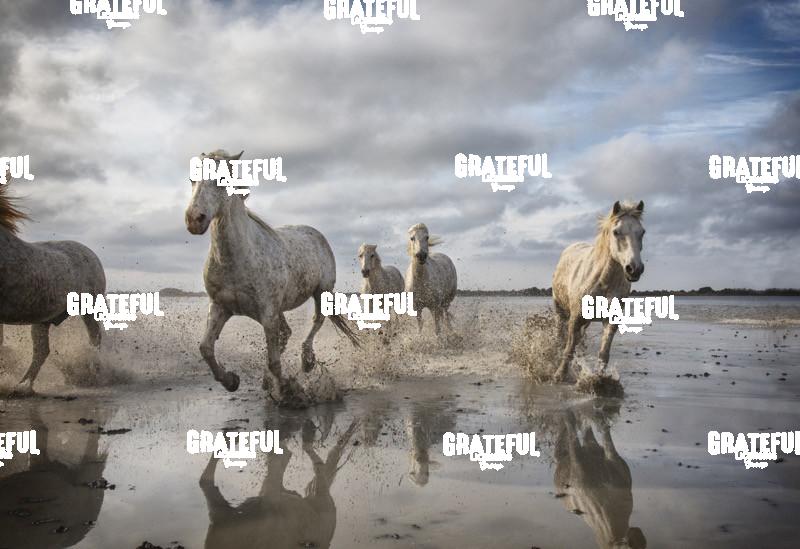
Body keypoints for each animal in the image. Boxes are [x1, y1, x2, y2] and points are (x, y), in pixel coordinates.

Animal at [0, 174, 105, 395]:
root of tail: (91, 253)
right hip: (42, 319)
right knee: (42, 351)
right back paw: (23, 385)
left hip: (89, 310)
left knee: (95, 339)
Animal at [184, 150, 359, 402]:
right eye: (192, 179)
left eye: (221, 179)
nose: (194, 219)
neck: (237, 258)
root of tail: (316, 234)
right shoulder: (220, 307)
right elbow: (206, 348)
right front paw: (231, 381)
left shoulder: (267, 314)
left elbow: (274, 361)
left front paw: (287, 391)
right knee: (287, 332)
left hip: (321, 291)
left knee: (317, 320)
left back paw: (307, 361)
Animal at [552, 201, 645, 382]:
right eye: (616, 232)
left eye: (642, 232)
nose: (634, 269)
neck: (604, 282)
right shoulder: (575, 318)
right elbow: (568, 348)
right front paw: (559, 375)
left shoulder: (611, 320)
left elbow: (603, 353)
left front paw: (600, 379)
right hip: (560, 310)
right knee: (561, 336)